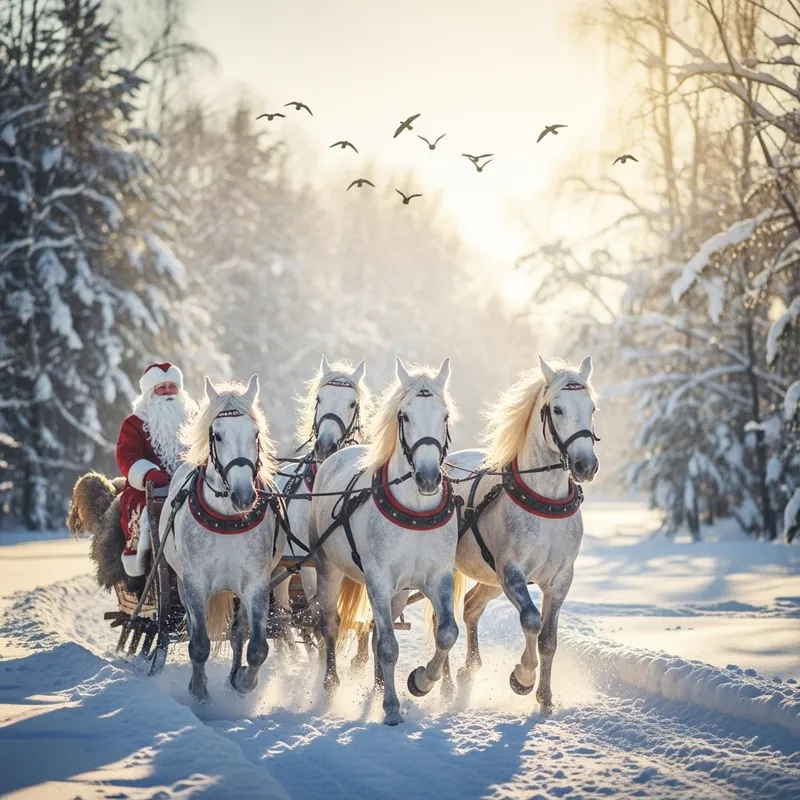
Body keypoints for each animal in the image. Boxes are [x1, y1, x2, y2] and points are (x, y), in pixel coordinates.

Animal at [161, 375, 285, 702]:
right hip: (181, 584)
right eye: (217, 435)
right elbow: (199, 643)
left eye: (255, 433)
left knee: (238, 631)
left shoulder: (257, 584)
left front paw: (243, 680)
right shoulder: (194, 583)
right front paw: (198, 690)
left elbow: (257, 647)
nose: (244, 497)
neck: (228, 519)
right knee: (196, 627)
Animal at [309, 357, 462, 726]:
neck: (415, 510)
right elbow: (389, 646)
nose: (427, 477)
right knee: (331, 624)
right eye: (404, 416)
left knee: (380, 630)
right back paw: (331, 684)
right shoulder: (377, 579)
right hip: (327, 567)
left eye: (445, 416)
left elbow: (447, 633)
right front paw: (392, 708)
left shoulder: (437, 577)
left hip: (399, 591)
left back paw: (380, 685)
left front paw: (421, 681)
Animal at [445, 356, 599, 713]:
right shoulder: (512, 571)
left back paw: (468, 669)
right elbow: (530, 620)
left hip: (490, 577)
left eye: (592, 407)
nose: (586, 465)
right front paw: (523, 678)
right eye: (557, 409)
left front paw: (545, 698)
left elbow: (548, 639)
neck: (545, 502)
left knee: (471, 607)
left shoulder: (560, 579)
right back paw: (442, 682)